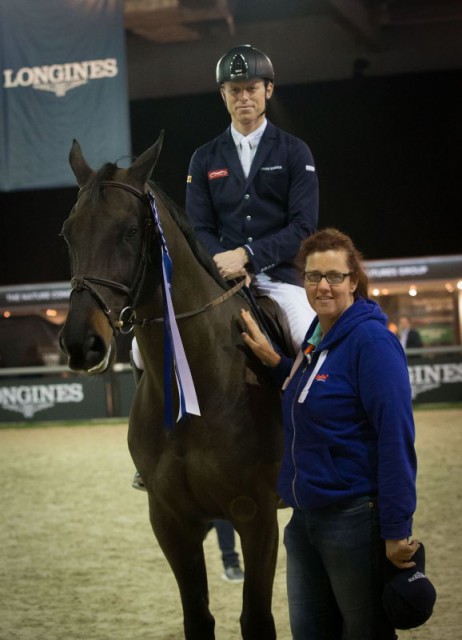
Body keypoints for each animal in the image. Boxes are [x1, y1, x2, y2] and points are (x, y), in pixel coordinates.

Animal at [59, 132, 284, 636]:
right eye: (68, 233)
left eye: (129, 230)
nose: (81, 344)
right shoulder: (170, 521)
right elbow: (197, 617)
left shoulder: (258, 517)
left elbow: (257, 619)